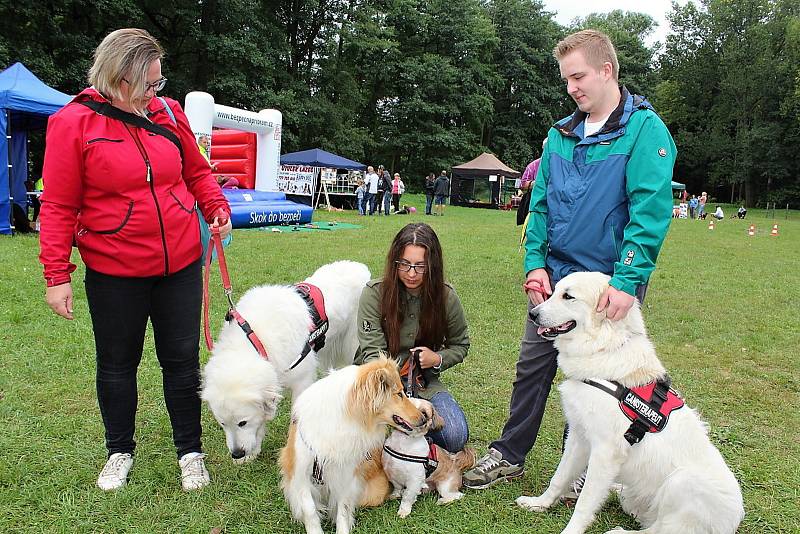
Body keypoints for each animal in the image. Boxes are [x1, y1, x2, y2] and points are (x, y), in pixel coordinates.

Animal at [203, 262, 372, 462]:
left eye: (242, 423)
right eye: (222, 424)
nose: (237, 453)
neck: (255, 339)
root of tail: (361, 267)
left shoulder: (302, 381)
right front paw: (252, 453)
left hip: (351, 343)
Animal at [282, 358, 432, 534]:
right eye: (399, 394)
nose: (424, 419)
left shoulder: (346, 475)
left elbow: (343, 509)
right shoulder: (300, 472)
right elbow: (310, 509)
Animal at [520, 274, 744, 534]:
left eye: (568, 296)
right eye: (553, 291)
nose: (533, 314)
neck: (603, 347)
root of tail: (736, 518)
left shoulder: (606, 452)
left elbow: (585, 502)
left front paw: (571, 531)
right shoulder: (578, 438)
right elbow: (559, 477)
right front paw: (539, 504)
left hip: (682, 481)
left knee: (659, 529)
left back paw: (618, 531)